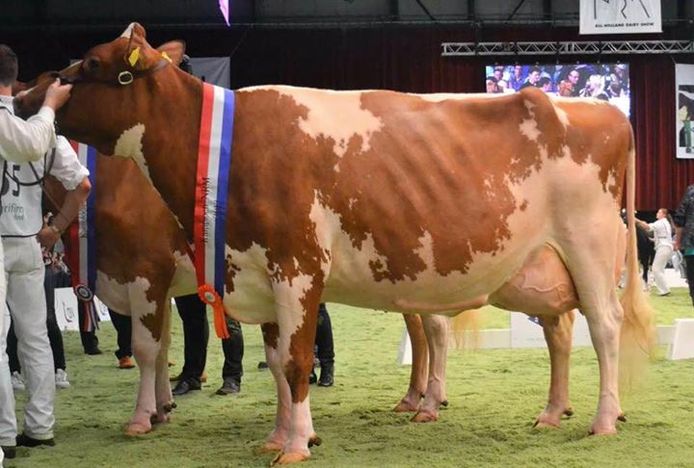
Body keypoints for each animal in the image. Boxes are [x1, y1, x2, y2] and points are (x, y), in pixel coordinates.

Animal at [17, 23, 656, 462]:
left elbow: (282, 361)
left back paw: (603, 418)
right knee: (556, 332)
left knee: (603, 330)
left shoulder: (283, 266)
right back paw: (549, 412)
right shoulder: (254, 270)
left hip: (590, 248)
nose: (25, 103)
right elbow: (276, 361)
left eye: (91, 64)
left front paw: (294, 446)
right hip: (538, 267)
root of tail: (604, 111)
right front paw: (277, 434)